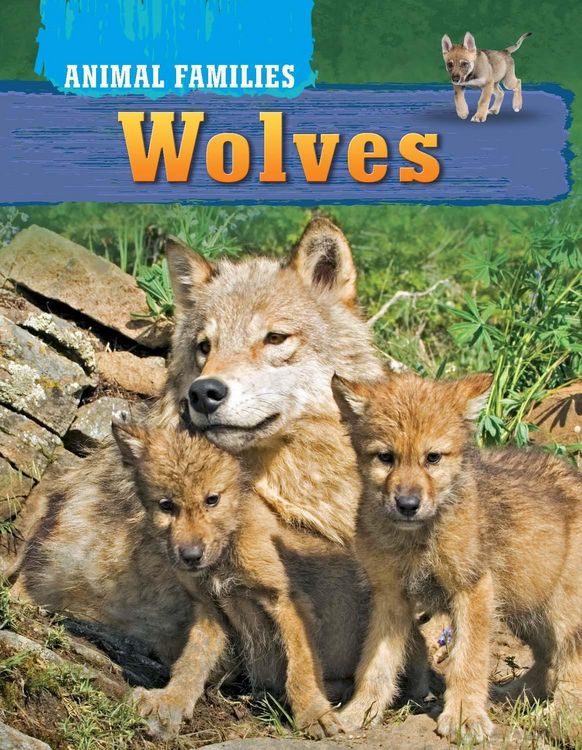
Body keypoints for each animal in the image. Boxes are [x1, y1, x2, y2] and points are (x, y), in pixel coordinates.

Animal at [333, 371, 582, 742]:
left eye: (433, 457)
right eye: (386, 457)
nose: (407, 505)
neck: (418, 539)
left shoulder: (472, 590)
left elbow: (467, 661)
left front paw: (465, 718)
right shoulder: (390, 596)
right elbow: (375, 665)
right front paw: (360, 712)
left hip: (562, 611)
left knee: (569, 662)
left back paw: (560, 718)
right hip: (527, 607)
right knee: (547, 660)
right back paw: (511, 697)